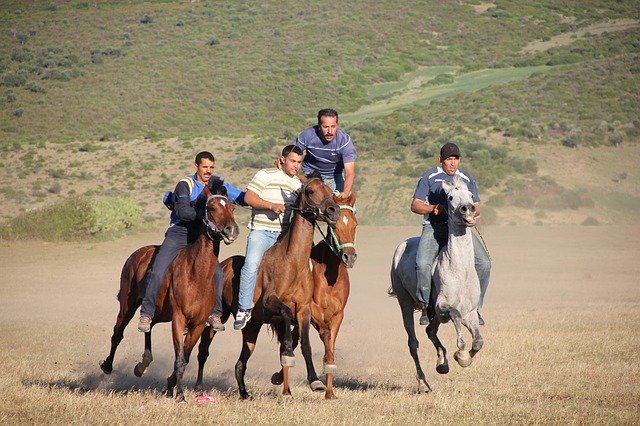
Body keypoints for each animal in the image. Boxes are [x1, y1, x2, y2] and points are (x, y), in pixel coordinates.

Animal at [99, 178, 239, 402]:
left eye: (232, 207)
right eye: (211, 208)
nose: (231, 230)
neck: (197, 273)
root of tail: (138, 254)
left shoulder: (198, 324)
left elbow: (186, 356)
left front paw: (170, 386)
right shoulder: (178, 318)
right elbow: (180, 358)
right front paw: (179, 394)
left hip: (159, 312)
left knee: (148, 327)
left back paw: (143, 364)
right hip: (128, 305)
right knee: (118, 333)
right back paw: (107, 365)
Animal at [194, 176, 340, 400]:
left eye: (330, 191)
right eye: (310, 191)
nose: (334, 210)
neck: (292, 263)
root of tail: (222, 264)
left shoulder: (304, 309)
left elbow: (306, 344)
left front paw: (315, 381)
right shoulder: (270, 303)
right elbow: (286, 315)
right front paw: (288, 353)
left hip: (252, 328)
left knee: (240, 364)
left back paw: (244, 394)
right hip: (219, 317)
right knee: (203, 350)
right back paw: (198, 387)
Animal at [272, 193, 360, 400]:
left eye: (354, 224)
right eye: (334, 226)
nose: (349, 257)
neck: (329, 279)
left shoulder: (337, 316)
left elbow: (330, 352)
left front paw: (330, 393)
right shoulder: (312, 314)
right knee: (287, 345)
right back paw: (285, 388)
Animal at [390, 176, 484, 392]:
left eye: (471, 195)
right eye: (450, 197)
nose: (467, 209)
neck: (459, 270)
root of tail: (401, 246)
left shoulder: (470, 313)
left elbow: (478, 342)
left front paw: (463, 359)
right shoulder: (443, 307)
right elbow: (458, 326)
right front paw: (460, 355)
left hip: (435, 316)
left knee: (430, 331)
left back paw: (442, 363)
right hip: (405, 303)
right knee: (413, 342)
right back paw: (424, 382)